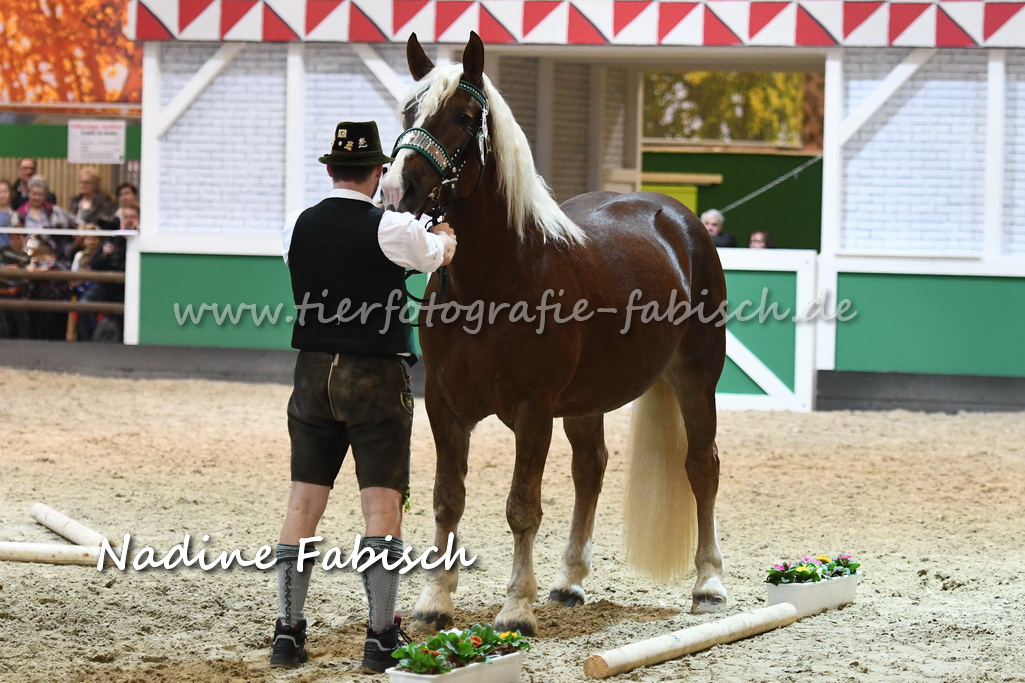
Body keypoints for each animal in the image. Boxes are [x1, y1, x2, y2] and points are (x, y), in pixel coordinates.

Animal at [381, 32, 728, 636]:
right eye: (409, 111)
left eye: (464, 116)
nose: (398, 187)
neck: (498, 277)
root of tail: (676, 216)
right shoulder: (445, 406)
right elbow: (448, 499)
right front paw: (435, 600)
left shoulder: (533, 409)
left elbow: (522, 506)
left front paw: (516, 608)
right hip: (587, 400)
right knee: (590, 470)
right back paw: (569, 581)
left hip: (696, 375)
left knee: (700, 466)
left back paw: (708, 584)